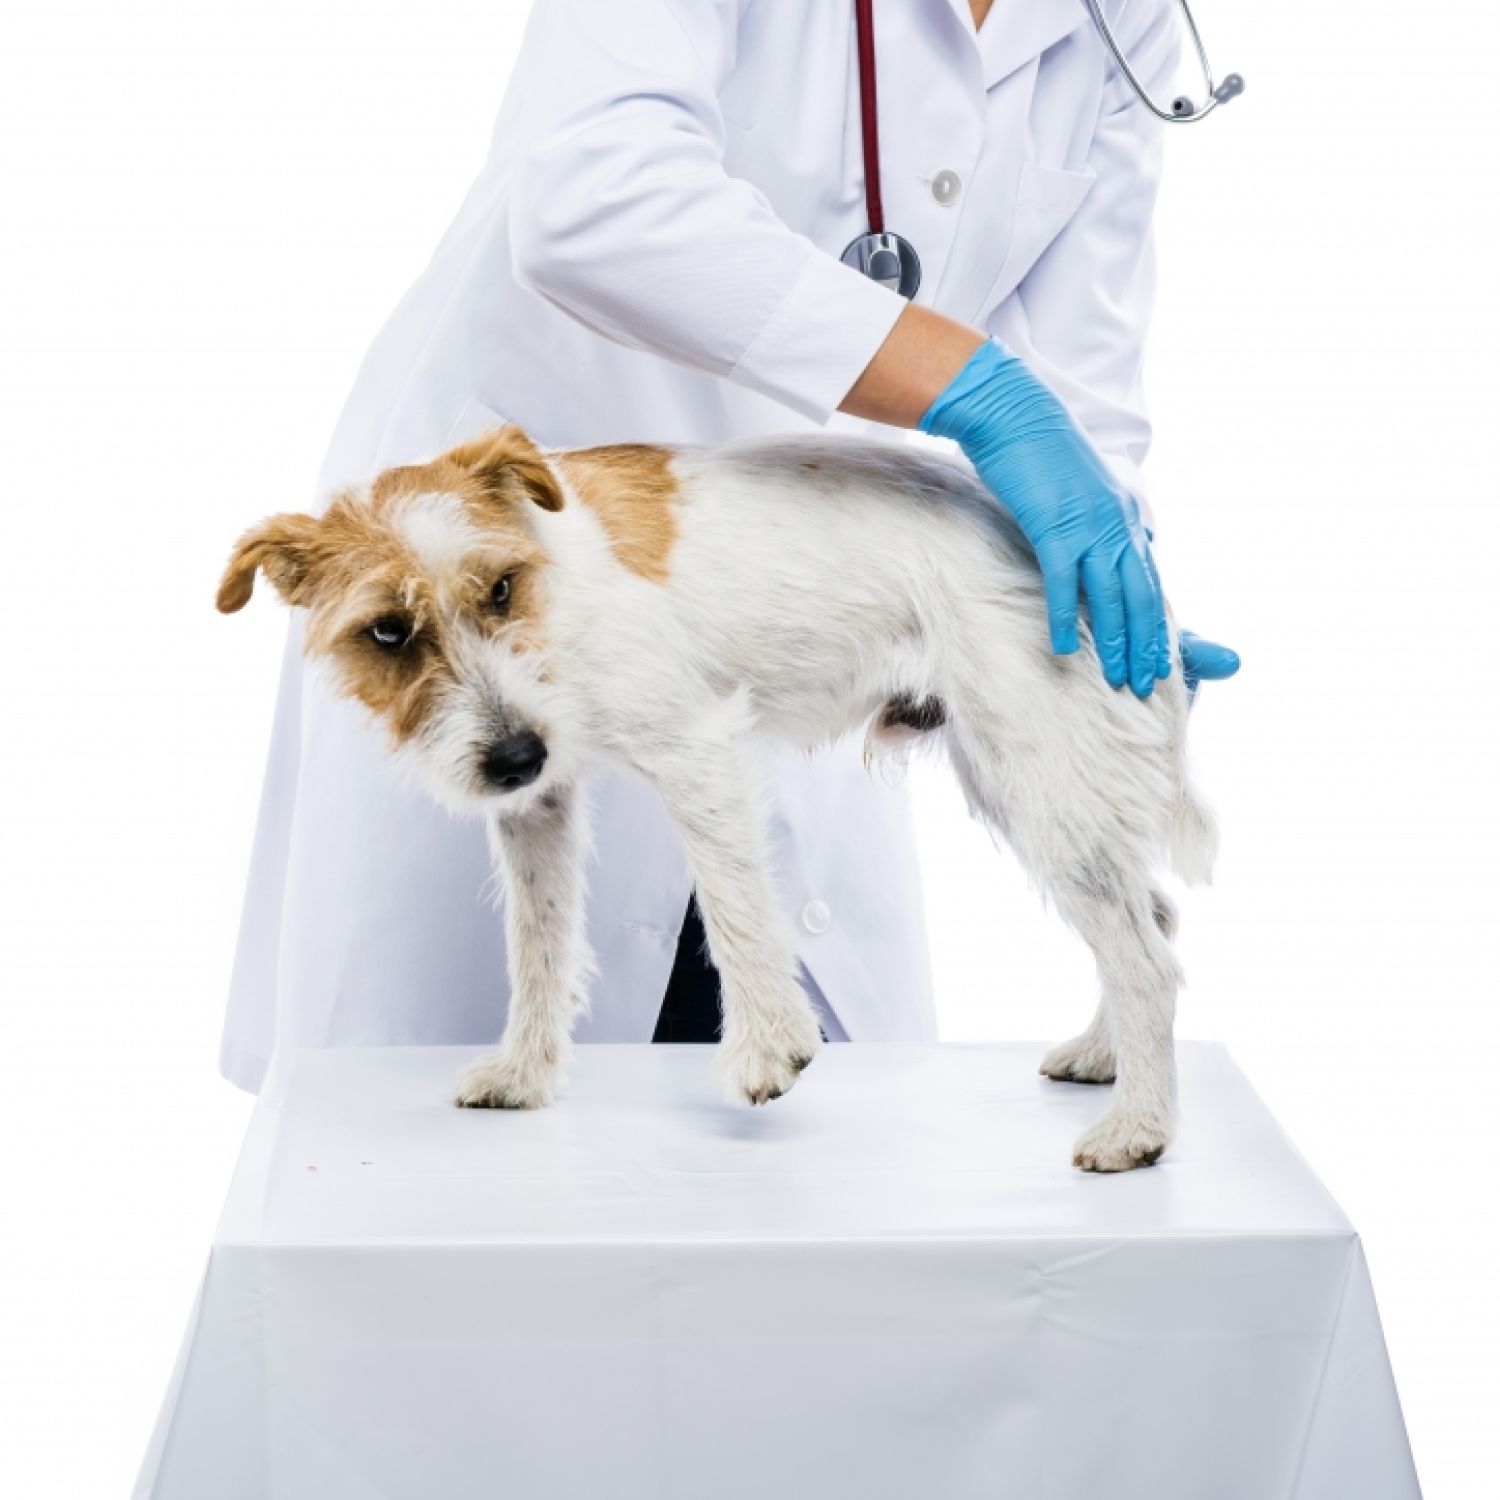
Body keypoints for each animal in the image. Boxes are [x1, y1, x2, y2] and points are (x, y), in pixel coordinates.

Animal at [217, 423, 1212, 1170]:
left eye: (499, 589)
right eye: (387, 631)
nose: (513, 754)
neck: (557, 599)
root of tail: (1121, 557)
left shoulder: (695, 750)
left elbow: (734, 908)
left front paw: (769, 1047)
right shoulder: (539, 805)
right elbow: (539, 945)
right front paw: (526, 1075)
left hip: (1035, 768)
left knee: (1145, 957)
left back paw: (1138, 1130)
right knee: (1155, 918)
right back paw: (1104, 1061)